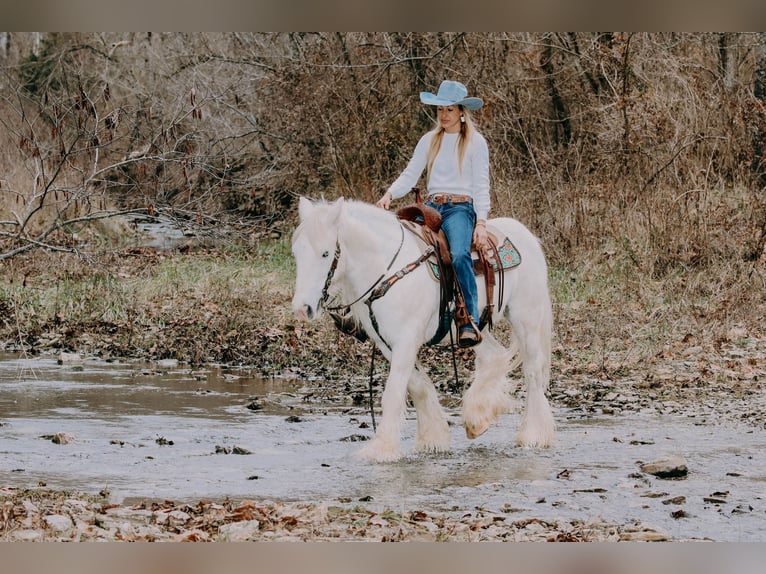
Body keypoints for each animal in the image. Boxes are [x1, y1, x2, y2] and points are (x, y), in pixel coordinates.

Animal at [292, 198, 556, 464]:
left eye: (326, 253)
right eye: (296, 253)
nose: (302, 309)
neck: (389, 270)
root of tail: (525, 235)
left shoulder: (406, 340)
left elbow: (394, 392)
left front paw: (381, 448)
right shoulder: (388, 343)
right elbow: (416, 385)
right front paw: (433, 438)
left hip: (527, 319)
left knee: (533, 372)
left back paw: (533, 435)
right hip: (473, 329)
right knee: (495, 357)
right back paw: (477, 419)